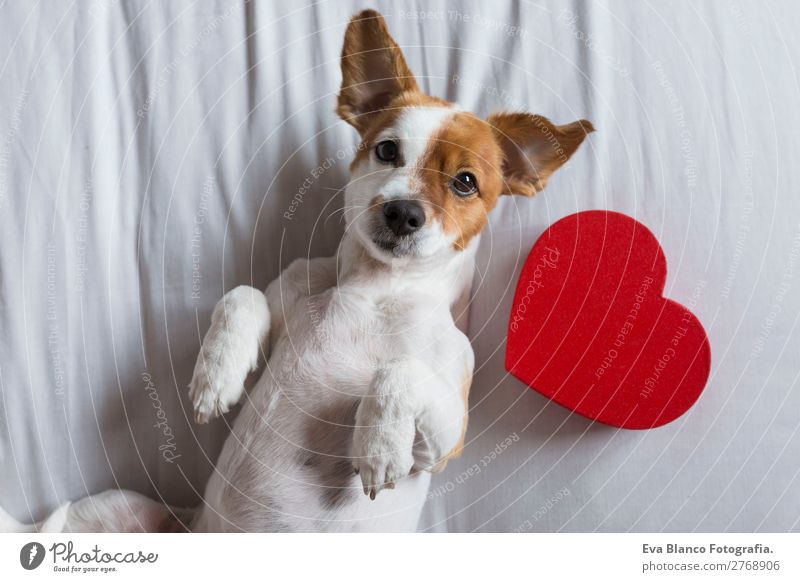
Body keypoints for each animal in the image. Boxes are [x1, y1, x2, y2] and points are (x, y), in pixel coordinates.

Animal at [1, 9, 592, 536]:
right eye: (386, 150)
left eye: (466, 183)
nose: (403, 212)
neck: (376, 288)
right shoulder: (285, 291)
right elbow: (243, 295)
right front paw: (218, 372)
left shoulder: (449, 434)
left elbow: (398, 372)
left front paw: (378, 443)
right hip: (117, 505)